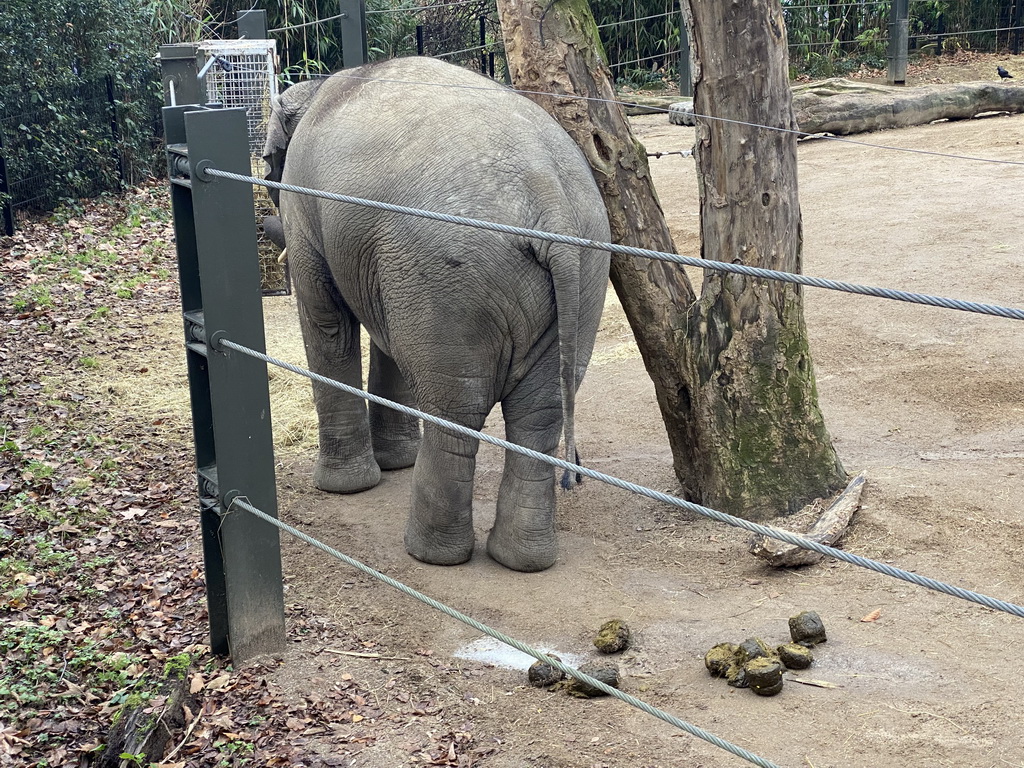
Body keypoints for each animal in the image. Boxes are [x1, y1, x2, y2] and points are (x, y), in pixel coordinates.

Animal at [264, 55, 610, 573]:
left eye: (268, 163)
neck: (316, 86)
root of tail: (549, 200)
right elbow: (387, 339)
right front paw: (394, 464)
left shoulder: (304, 207)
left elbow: (327, 322)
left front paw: (346, 487)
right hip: (586, 271)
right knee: (540, 412)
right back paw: (522, 560)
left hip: (449, 271)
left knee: (456, 408)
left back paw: (428, 554)